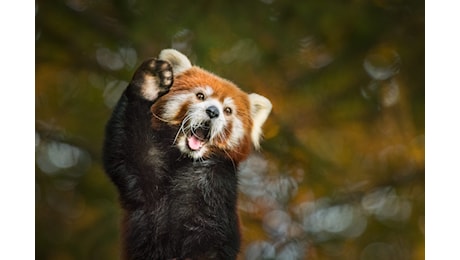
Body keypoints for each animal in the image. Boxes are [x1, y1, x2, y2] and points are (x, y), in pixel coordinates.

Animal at [102, 49, 272, 260]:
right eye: (200, 95)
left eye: (228, 110)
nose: (213, 111)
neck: (185, 160)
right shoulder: (146, 181)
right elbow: (129, 154)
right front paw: (148, 83)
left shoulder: (216, 191)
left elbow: (209, 242)